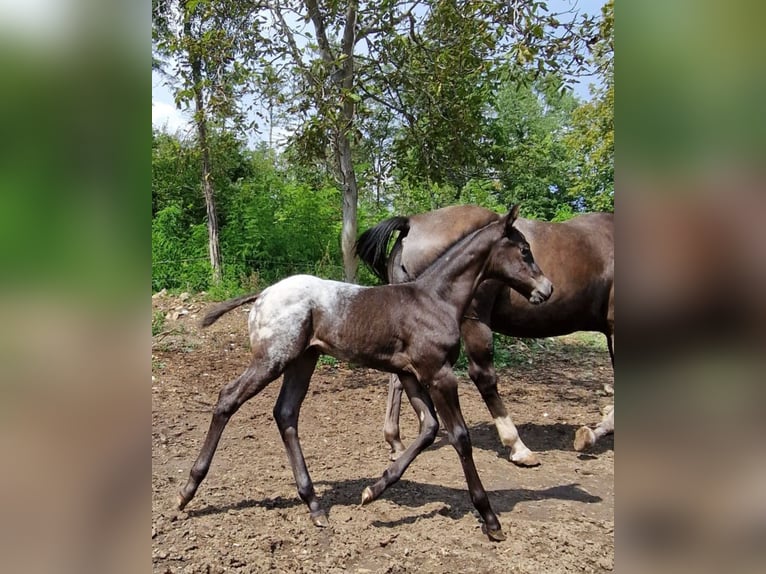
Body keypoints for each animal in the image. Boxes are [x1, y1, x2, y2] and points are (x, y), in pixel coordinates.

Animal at [180, 205, 552, 544]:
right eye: (524, 250)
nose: (546, 289)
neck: (435, 299)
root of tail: (263, 294)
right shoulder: (438, 374)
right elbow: (459, 436)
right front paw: (490, 519)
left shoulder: (409, 374)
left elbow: (429, 429)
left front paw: (374, 490)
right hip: (273, 358)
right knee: (228, 399)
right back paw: (187, 491)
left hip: (303, 360)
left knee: (285, 413)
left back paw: (314, 505)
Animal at [356, 205, 616, 466]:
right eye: (524, 251)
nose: (548, 288)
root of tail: (413, 223)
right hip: (473, 321)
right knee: (483, 376)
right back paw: (517, 445)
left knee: (398, 378)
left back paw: (396, 442)